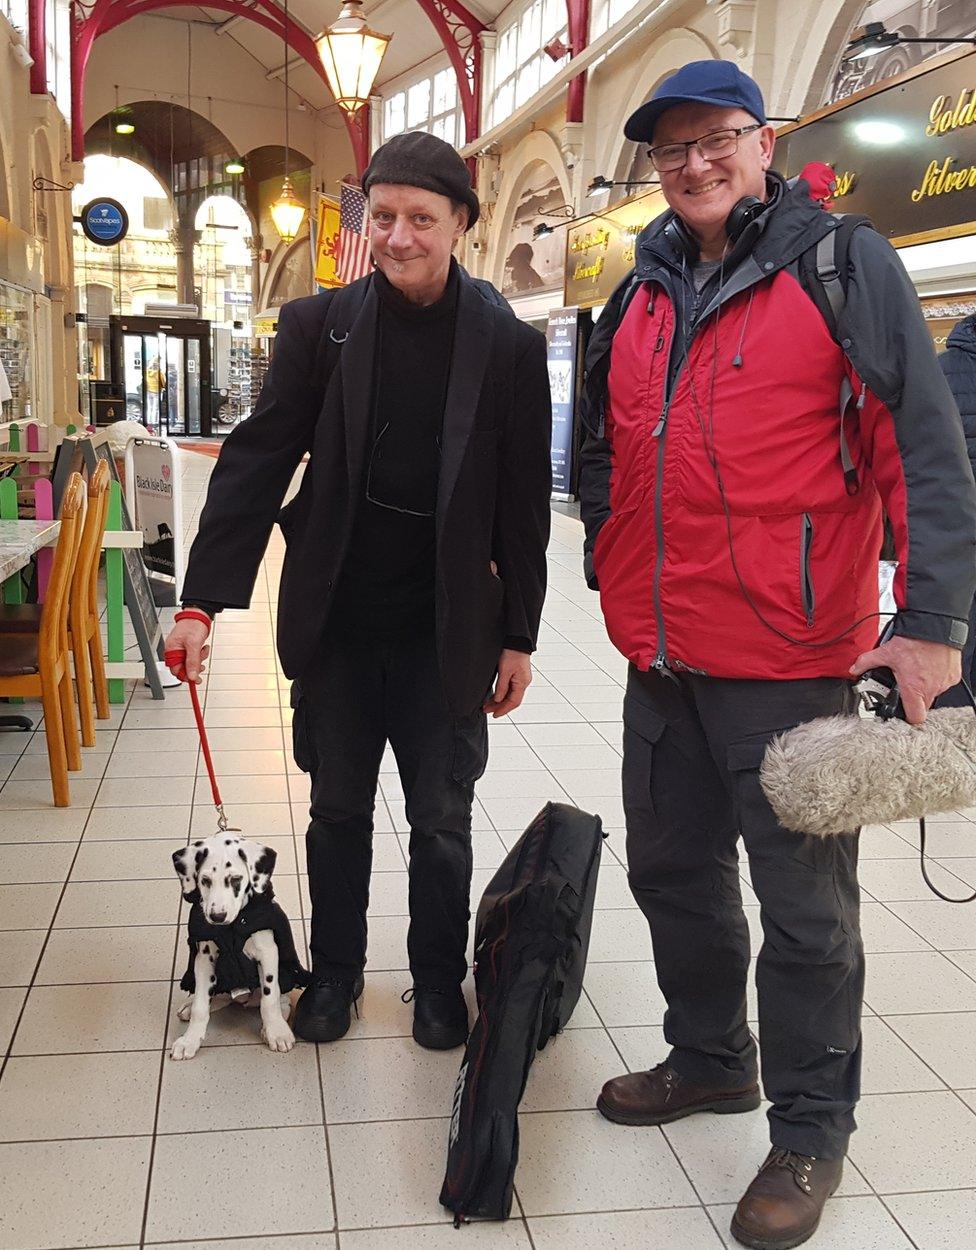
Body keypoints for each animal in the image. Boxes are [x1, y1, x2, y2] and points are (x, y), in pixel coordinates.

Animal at [169, 835, 308, 1060]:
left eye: (235, 879)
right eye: (205, 881)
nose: (217, 917)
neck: (231, 929)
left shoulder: (268, 953)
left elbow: (270, 999)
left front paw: (277, 1033)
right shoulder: (204, 959)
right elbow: (201, 1004)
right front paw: (189, 1040)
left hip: (285, 975)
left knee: (280, 1000)